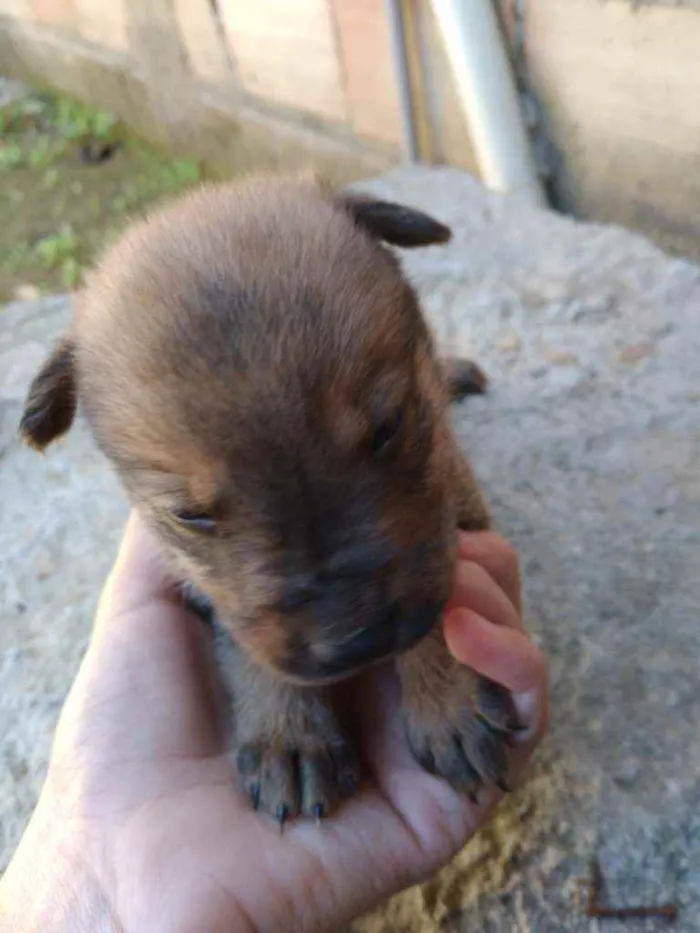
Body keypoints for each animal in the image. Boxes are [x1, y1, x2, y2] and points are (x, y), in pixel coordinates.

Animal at [19, 173, 524, 824]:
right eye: (190, 515)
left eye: (389, 428)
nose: (359, 639)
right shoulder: (212, 589)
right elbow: (246, 647)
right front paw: (290, 739)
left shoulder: (448, 510)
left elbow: (446, 598)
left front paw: (450, 699)